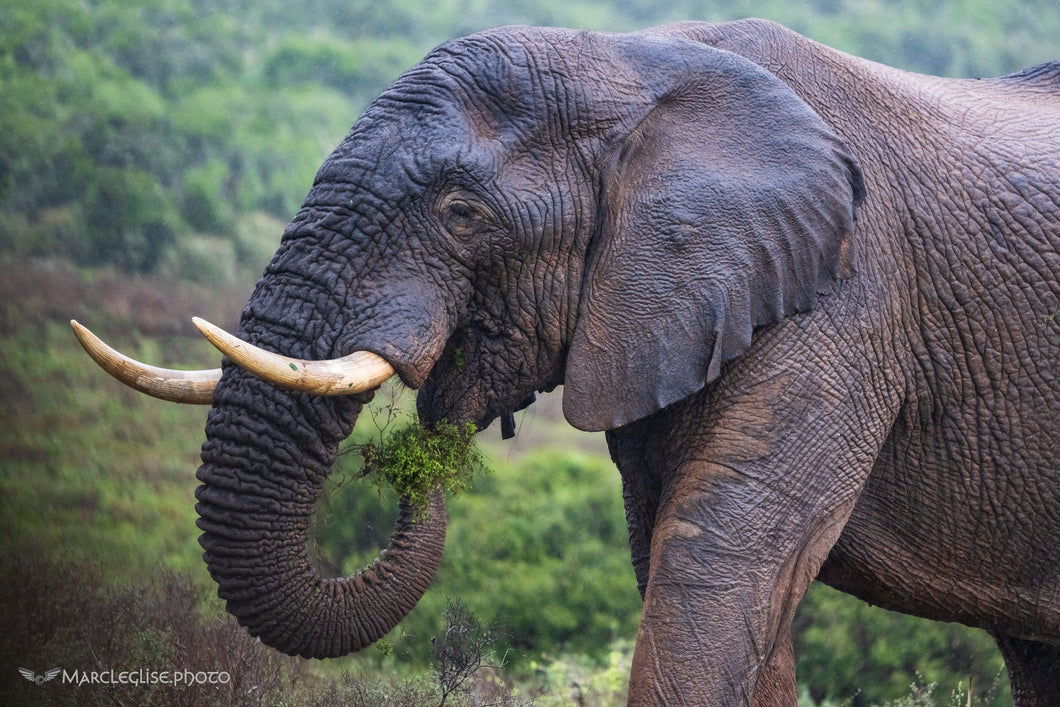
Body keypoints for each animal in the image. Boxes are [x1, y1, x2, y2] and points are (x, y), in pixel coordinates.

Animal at [73, 18, 1060, 706]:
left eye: (461, 213)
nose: (422, 452)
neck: (635, 65)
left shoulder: (849, 301)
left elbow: (714, 564)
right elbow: (690, 571)